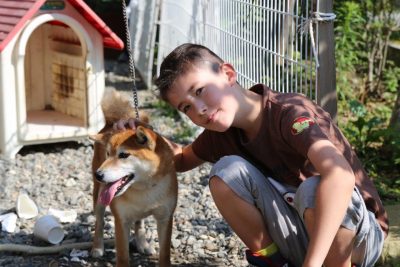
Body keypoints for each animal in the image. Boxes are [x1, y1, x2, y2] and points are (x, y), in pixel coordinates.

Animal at [91, 90, 179, 267]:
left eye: (124, 155)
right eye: (108, 154)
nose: (98, 174)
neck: (143, 189)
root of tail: (113, 122)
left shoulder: (165, 218)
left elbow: (164, 253)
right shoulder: (121, 220)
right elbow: (123, 256)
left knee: (139, 223)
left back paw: (143, 244)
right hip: (99, 197)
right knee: (100, 221)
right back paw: (97, 247)